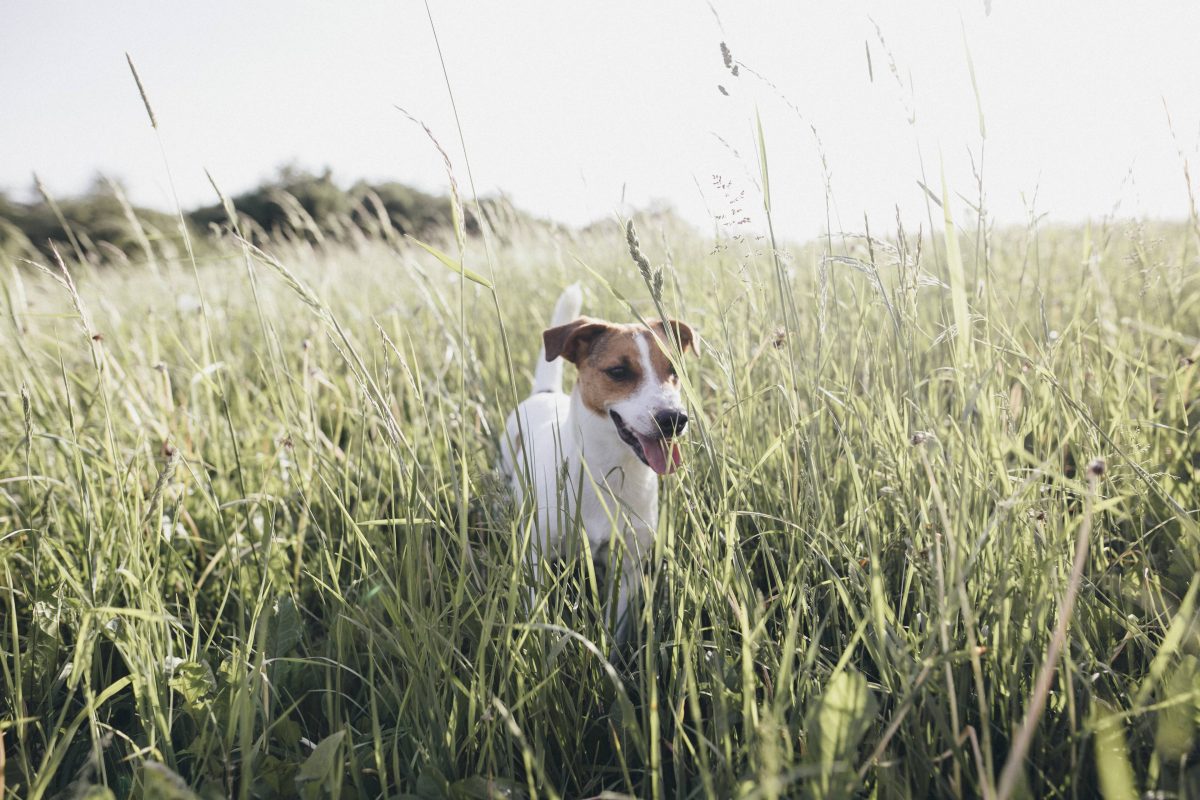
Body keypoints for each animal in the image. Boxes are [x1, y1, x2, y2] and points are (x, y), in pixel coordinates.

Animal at [501, 284, 700, 642]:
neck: (607, 471)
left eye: (674, 372)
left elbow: (615, 626)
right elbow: (536, 606)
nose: (674, 419)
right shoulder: (536, 554)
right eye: (619, 372)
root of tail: (545, 392)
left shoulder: (628, 566)